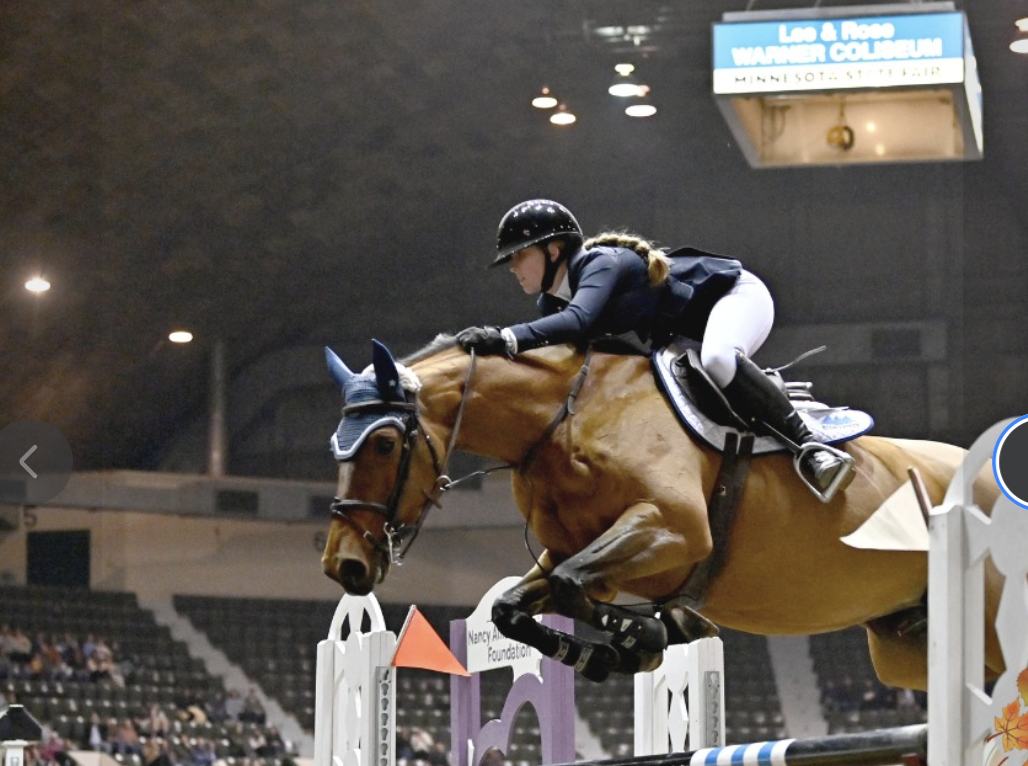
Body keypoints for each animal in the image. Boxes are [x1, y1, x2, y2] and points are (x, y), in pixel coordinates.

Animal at [320, 335, 1004, 689]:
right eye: (335, 446)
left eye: (384, 443)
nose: (342, 566)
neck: (563, 419)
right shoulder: (575, 551)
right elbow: (517, 604)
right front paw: (616, 649)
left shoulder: (674, 531)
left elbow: (571, 587)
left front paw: (645, 637)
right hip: (906, 647)